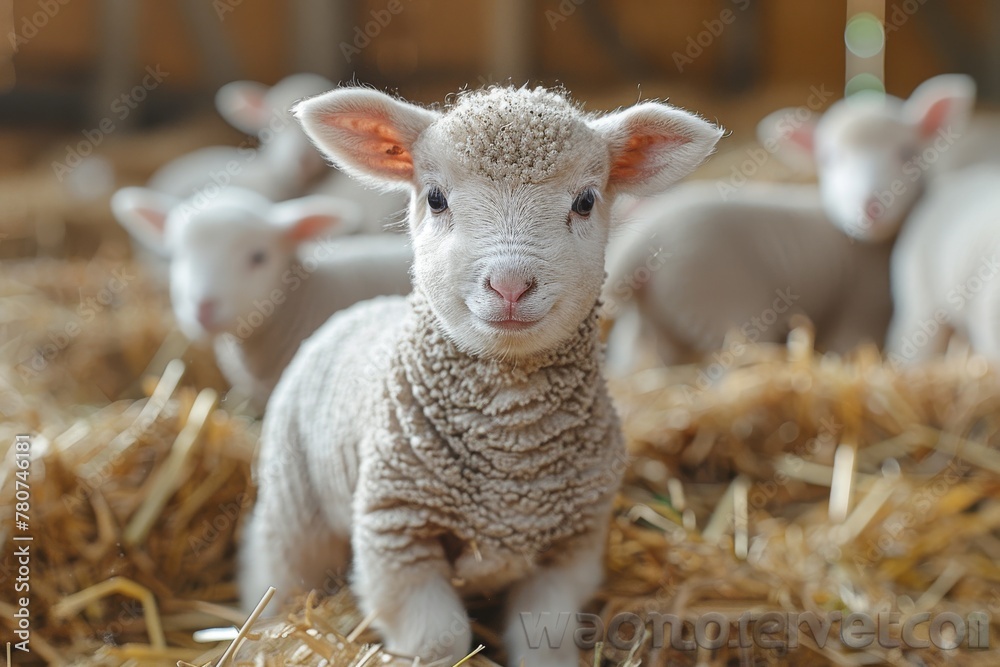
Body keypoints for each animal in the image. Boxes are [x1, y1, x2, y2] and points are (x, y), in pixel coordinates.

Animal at [239, 85, 723, 667]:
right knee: (278, 567)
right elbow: (438, 641)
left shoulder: (574, 546)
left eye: (586, 201)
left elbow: (545, 638)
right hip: (294, 500)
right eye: (435, 198)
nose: (510, 284)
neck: (508, 447)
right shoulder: (395, 537)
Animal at [603, 74, 976, 375]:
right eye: (828, 159)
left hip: (648, 322)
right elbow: (847, 344)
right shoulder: (861, 306)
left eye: (908, 153)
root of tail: (637, 249)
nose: (870, 207)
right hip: (723, 306)